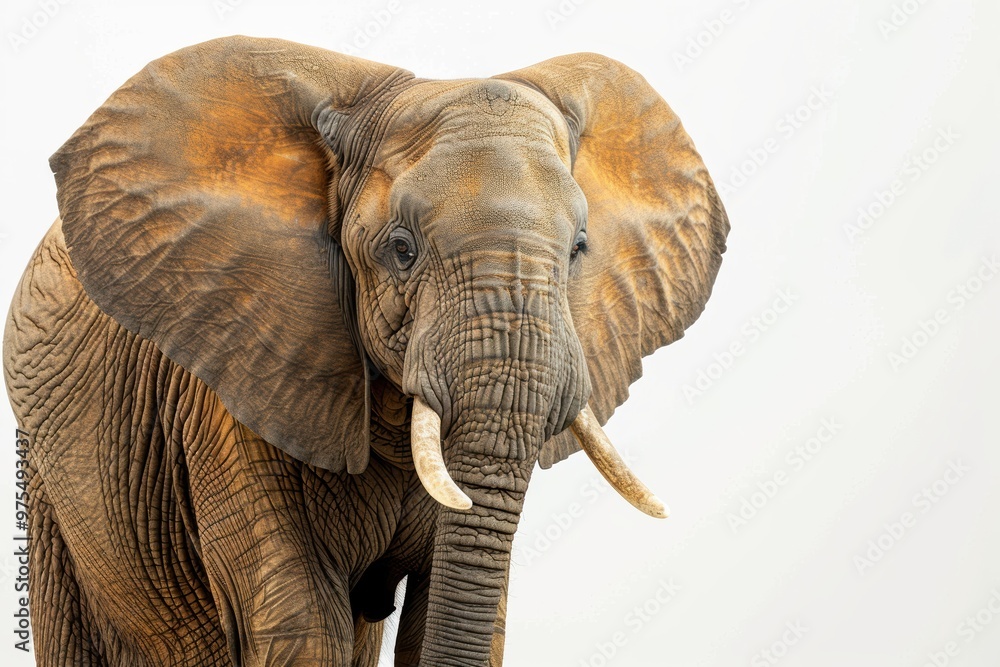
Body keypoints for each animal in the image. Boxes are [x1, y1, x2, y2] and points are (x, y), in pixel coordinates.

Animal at [2, 35, 729, 666]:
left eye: (579, 248)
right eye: (400, 249)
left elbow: (449, 613)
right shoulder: (232, 378)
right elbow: (299, 623)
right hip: (46, 485)